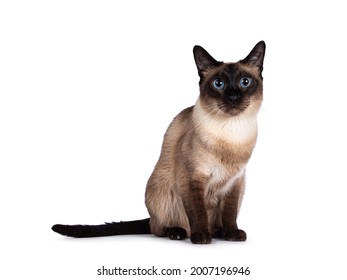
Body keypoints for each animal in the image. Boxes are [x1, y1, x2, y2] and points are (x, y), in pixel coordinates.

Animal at [51, 40, 266, 244]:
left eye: (245, 82)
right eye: (218, 83)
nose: (233, 97)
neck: (232, 135)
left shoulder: (235, 181)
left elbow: (229, 213)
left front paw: (232, 234)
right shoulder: (191, 179)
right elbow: (197, 212)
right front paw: (201, 237)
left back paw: (218, 232)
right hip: (160, 190)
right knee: (158, 228)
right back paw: (179, 233)